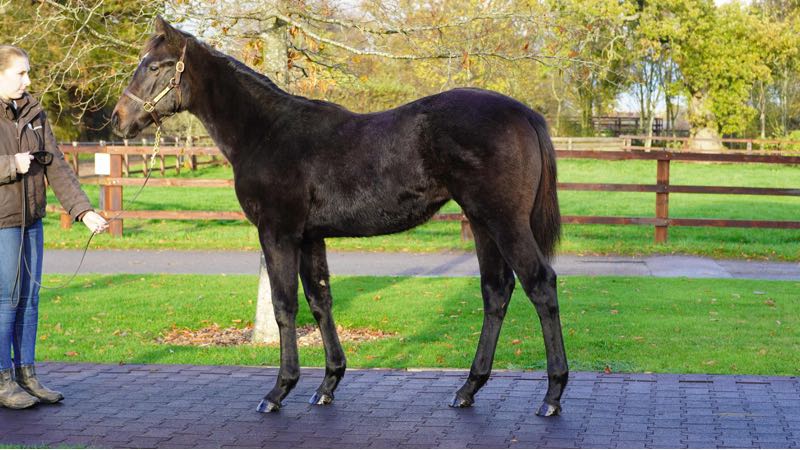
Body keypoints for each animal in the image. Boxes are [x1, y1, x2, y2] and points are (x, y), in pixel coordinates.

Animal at [112, 17, 568, 417]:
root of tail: (525, 114)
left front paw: (279, 390)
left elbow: (284, 306)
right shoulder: (310, 237)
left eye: (154, 66)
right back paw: (468, 388)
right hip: (480, 222)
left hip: (504, 221)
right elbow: (320, 301)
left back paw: (552, 395)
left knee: (540, 285)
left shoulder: (278, 233)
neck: (267, 132)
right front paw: (328, 383)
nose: (118, 119)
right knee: (496, 291)